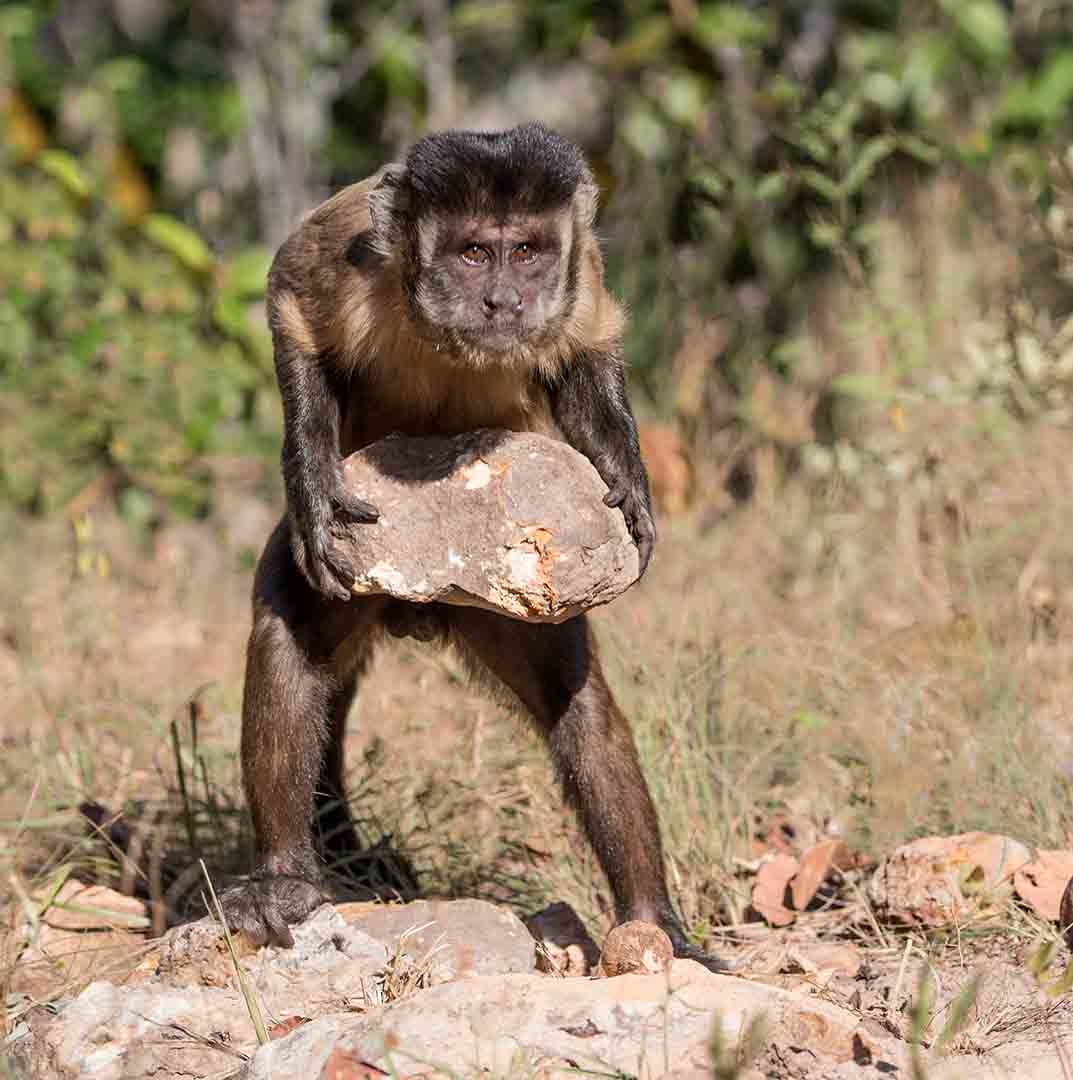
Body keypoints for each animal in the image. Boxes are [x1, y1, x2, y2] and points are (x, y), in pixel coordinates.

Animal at [218, 124, 721, 972]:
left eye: (526, 252)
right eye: (473, 254)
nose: (503, 301)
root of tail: (421, 610)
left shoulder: (580, 272)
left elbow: (587, 349)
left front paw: (627, 474)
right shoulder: (353, 244)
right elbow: (291, 308)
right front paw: (312, 481)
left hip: (508, 604)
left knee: (578, 707)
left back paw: (653, 920)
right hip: (367, 581)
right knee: (291, 631)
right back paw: (285, 878)